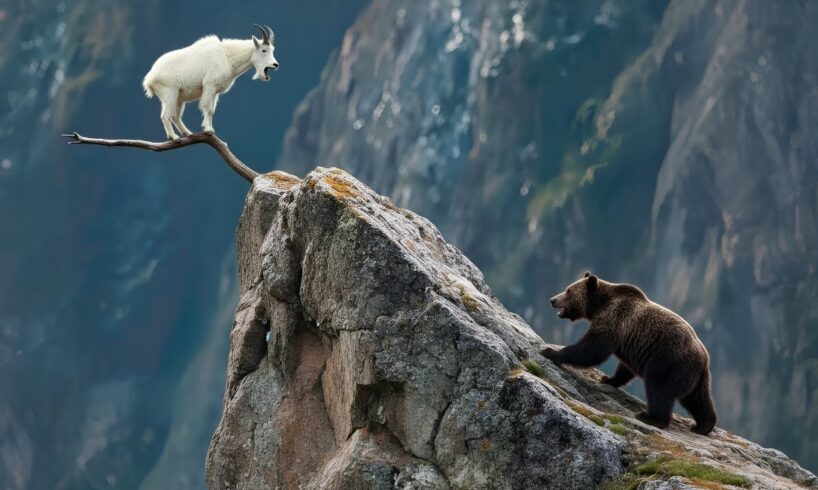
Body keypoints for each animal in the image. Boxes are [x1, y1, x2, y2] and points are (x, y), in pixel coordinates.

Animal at [142, 24, 279, 140]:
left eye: (272, 50)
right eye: (264, 50)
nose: (275, 65)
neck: (228, 57)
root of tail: (150, 78)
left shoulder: (215, 92)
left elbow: (212, 110)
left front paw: (209, 128)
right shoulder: (209, 86)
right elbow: (207, 108)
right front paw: (208, 130)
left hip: (179, 98)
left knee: (176, 116)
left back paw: (188, 133)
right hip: (170, 94)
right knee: (166, 116)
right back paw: (174, 137)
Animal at [540, 272, 717, 435]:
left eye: (568, 290)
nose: (552, 299)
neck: (600, 305)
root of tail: (703, 357)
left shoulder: (613, 319)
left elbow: (593, 348)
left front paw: (550, 351)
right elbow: (624, 367)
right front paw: (608, 379)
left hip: (668, 362)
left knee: (659, 389)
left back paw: (651, 417)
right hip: (696, 376)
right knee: (698, 399)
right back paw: (703, 426)